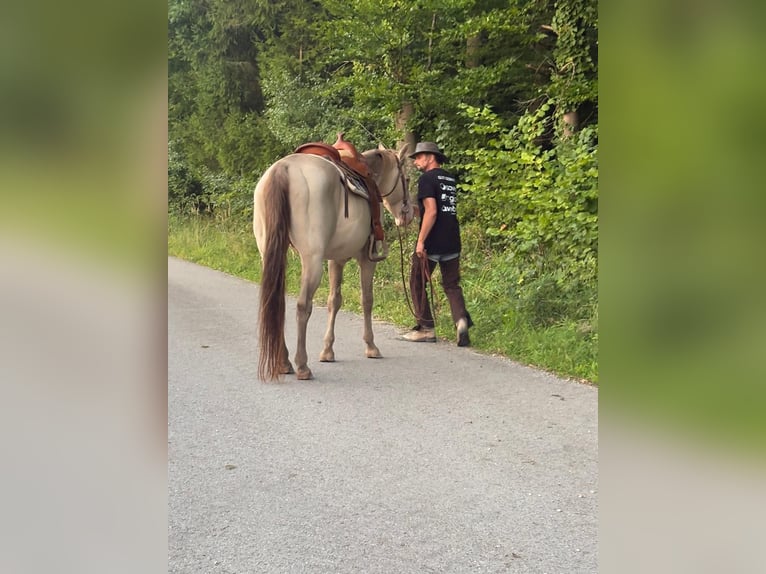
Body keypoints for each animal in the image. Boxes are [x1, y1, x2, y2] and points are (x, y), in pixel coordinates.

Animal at [253, 144, 412, 381]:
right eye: (407, 179)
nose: (408, 214)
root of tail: (284, 169)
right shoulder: (366, 259)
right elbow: (367, 300)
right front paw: (371, 346)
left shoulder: (336, 260)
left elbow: (334, 301)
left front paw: (327, 351)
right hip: (312, 260)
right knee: (303, 306)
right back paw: (302, 365)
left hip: (270, 253)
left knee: (276, 301)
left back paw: (284, 362)